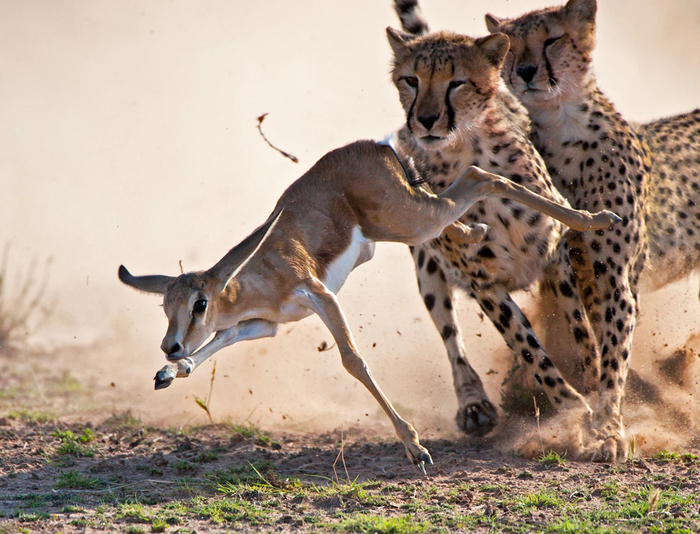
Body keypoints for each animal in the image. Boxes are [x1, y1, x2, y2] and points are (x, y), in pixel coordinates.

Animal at [382, 27, 612, 456]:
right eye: (411, 80)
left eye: (457, 82)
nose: (424, 120)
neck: (467, 151)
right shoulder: (484, 283)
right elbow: (528, 347)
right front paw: (574, 410)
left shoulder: (554, 257)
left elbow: (578, 328)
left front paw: (592, 381)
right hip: (428, 268)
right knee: (451, 337)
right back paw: (474, 404)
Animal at [484, 0, 652, 460]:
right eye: (511, 47)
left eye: (552, 39)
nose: (525, 71)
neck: (563, 123)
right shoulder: (555, 260)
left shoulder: (612, 278)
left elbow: (611, 360)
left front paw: (608, 430)